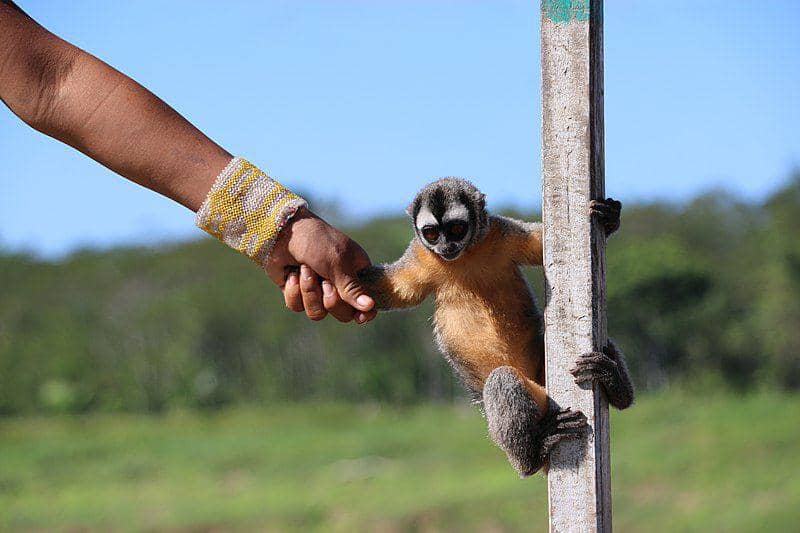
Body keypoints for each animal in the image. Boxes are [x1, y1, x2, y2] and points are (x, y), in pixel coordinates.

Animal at [358, 178, 634, 477]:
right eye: (431, 233)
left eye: (456, 229)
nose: (445, 246)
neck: (465, 255)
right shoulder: (420, 258)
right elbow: (392, 291)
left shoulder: (503, 232)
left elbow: (540, 244)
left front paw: (609, 218)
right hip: (527, 406)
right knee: (502, 379)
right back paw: (534, 455)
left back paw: (613, 382)